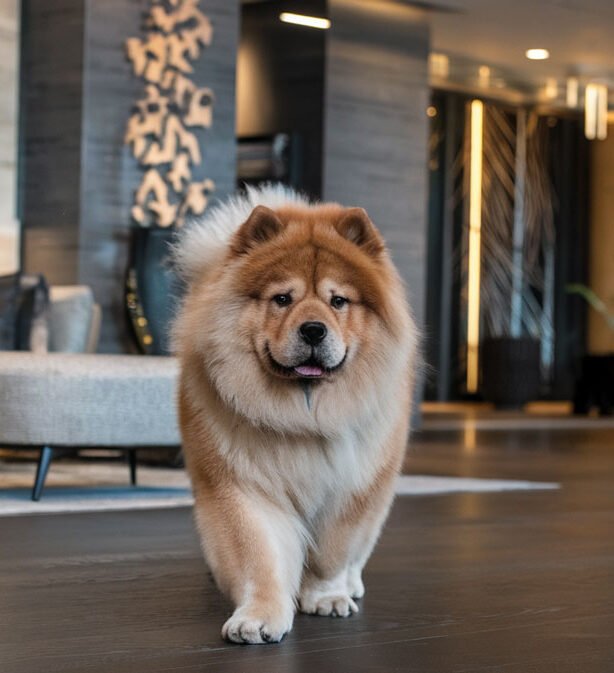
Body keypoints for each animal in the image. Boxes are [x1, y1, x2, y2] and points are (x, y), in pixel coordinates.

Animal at [176, 182, 422, 640]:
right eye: (282, 299)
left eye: (338, 300)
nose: (312, 329)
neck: (303, 415)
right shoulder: (244, 486)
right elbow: (259, 557)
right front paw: (258, 617)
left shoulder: (354, 486)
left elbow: (332, 552)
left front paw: (326, 597)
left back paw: (351, 585)